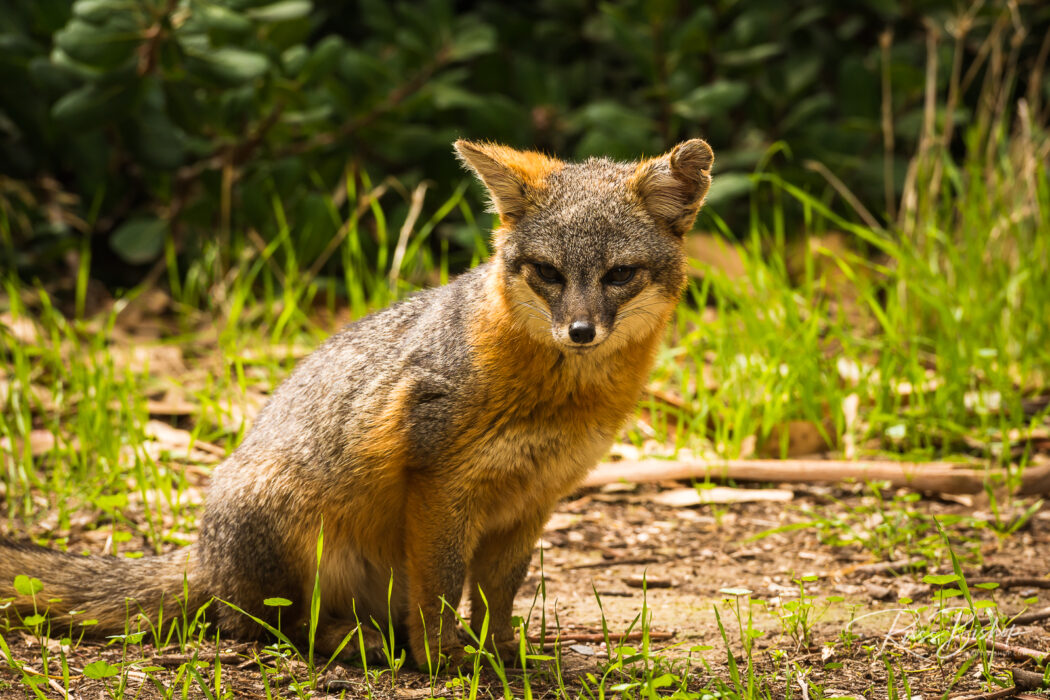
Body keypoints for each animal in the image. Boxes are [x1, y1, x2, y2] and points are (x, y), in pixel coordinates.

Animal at [0, 138, 713, 667]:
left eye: (619, 275)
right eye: (548, 273)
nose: (580, 332)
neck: (557, 396)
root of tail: (202, 555)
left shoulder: (533, 499)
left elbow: (496, 595)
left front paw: (503, 656)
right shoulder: (440, 484)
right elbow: (441, 589)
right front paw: (443, 662)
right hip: (292, 531)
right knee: (267, 627)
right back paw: (362, 645)